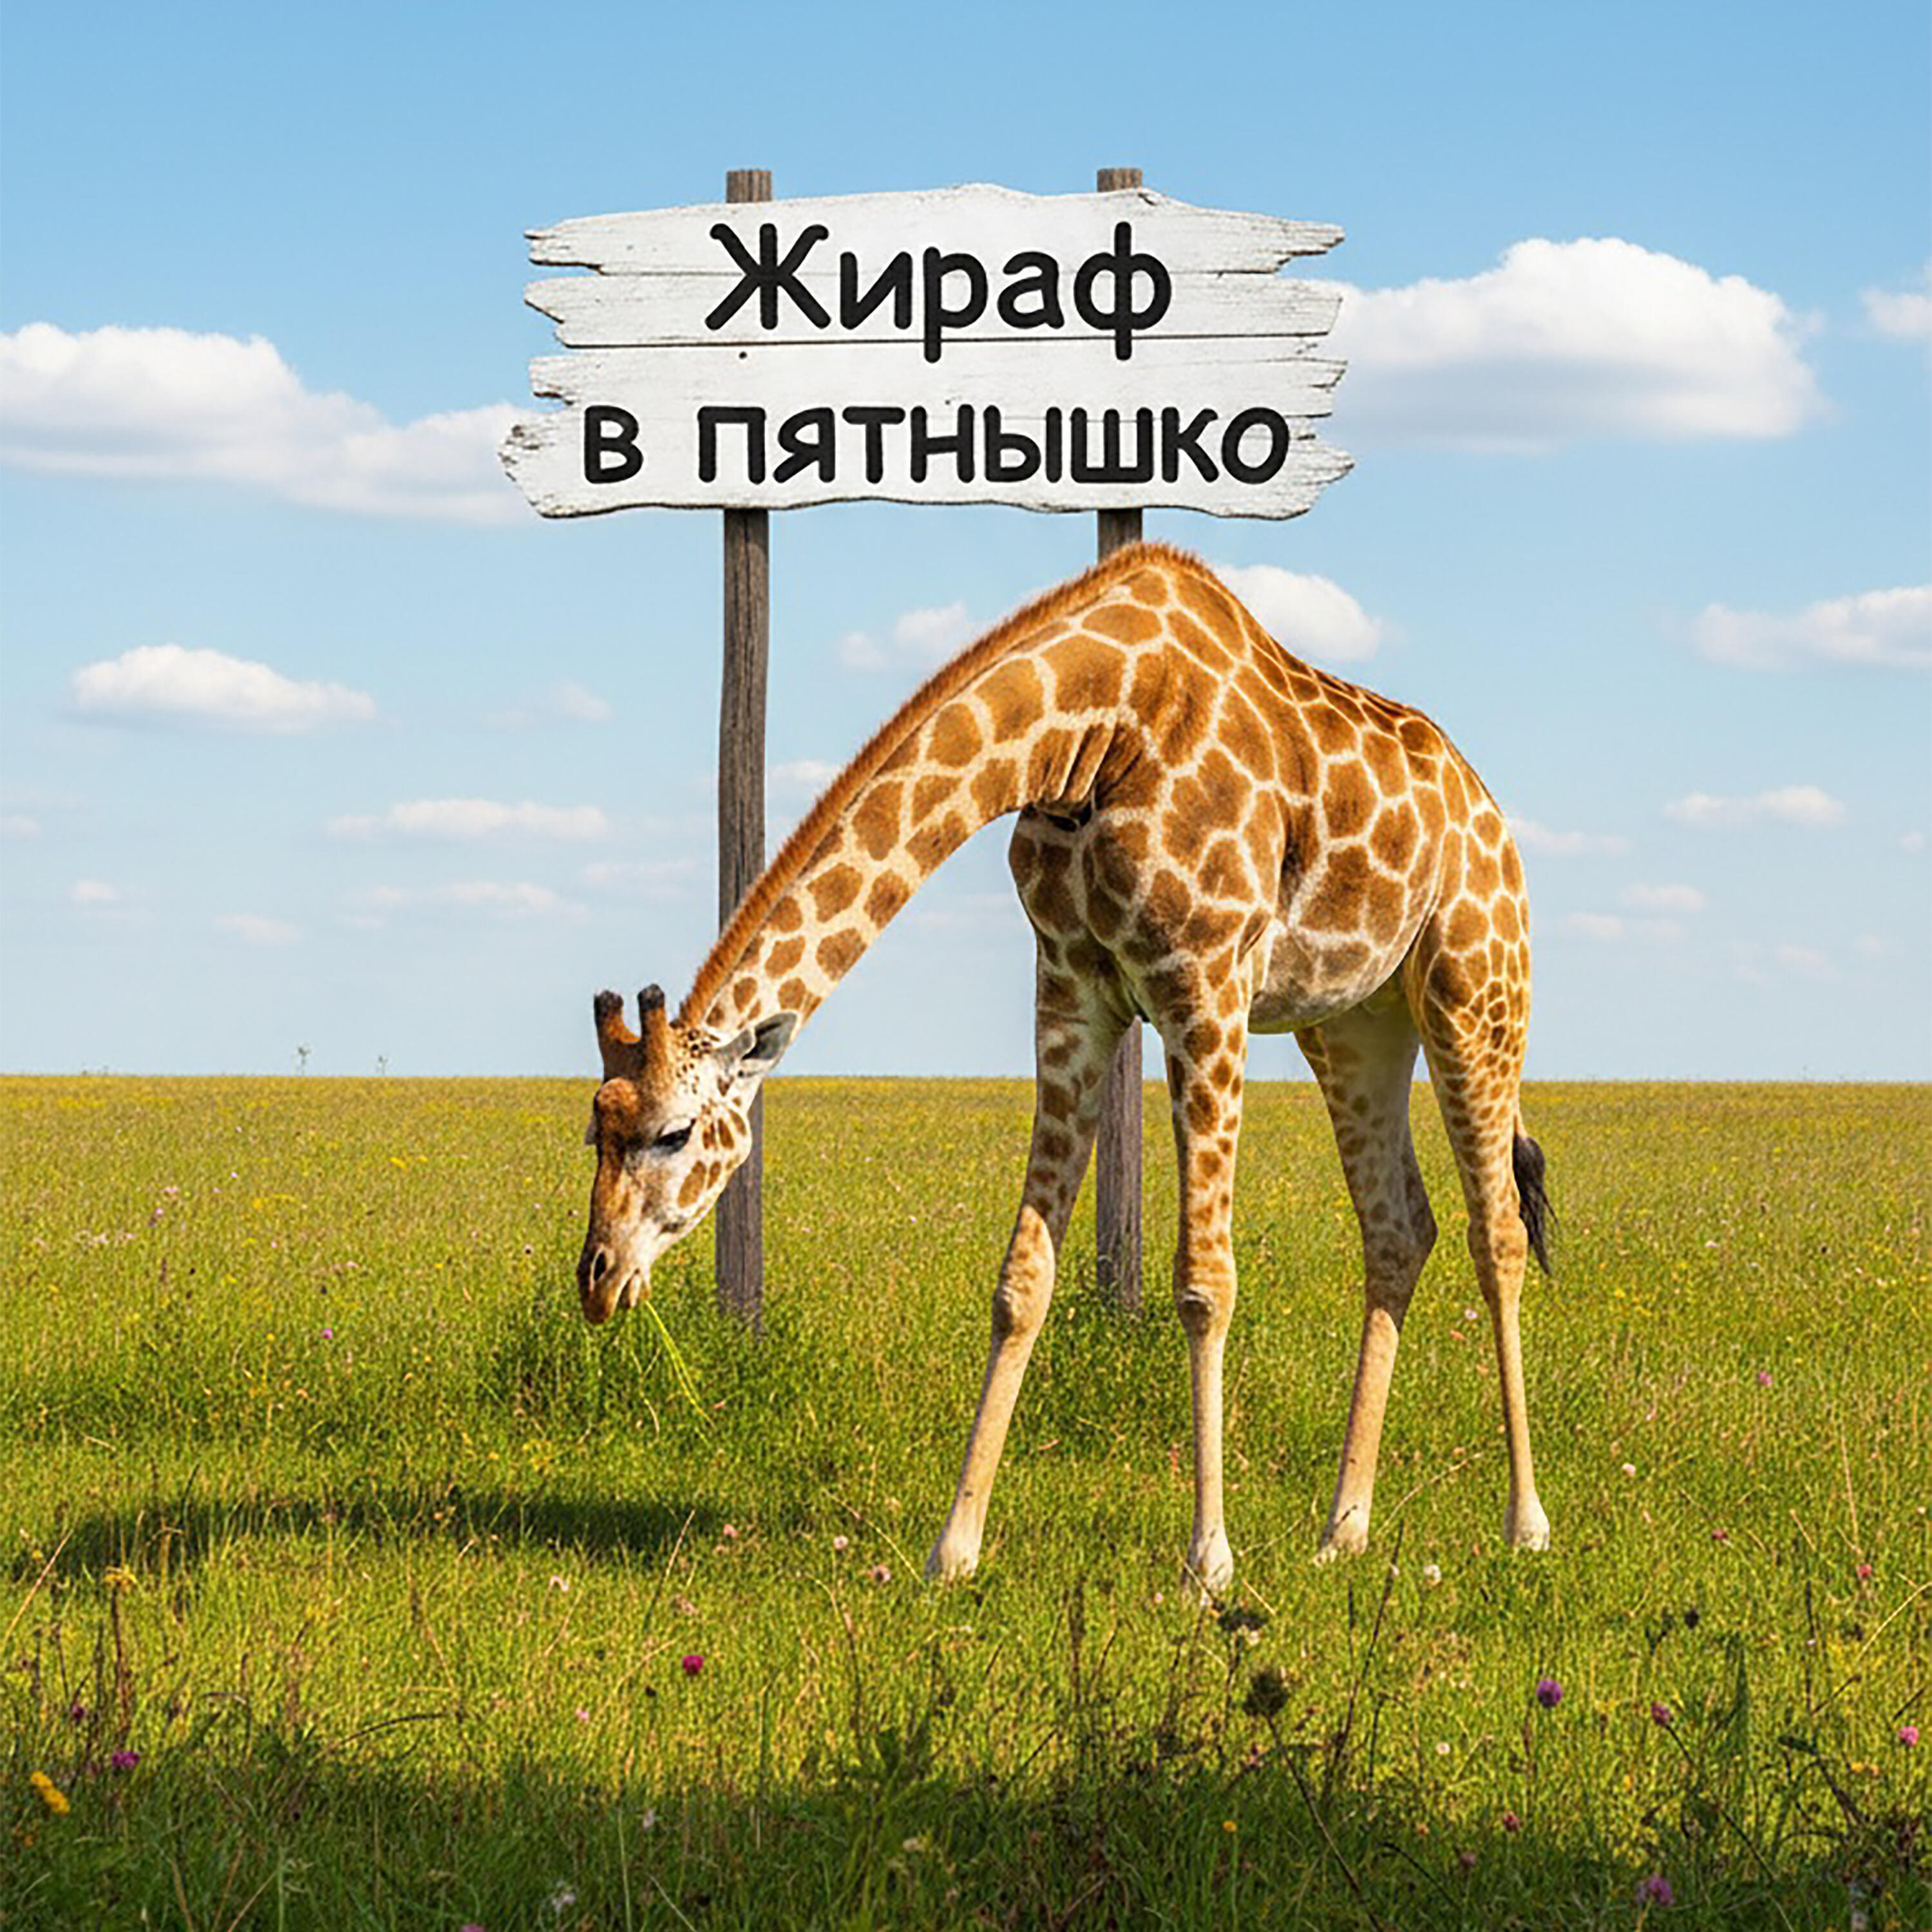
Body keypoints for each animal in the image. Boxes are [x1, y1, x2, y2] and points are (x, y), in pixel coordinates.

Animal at [578, 541, 1553, 1592]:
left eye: (675, 1133)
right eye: (596, 1131)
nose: (596, 1279)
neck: (1090, 734)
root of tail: (1490, 811)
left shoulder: (1205, 985)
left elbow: (1204, 1281)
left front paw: (1209, 1561)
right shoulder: (1070, 989)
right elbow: (1021, 1280)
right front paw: (955, 1546)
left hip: (1476, 990)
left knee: (1497, 1231)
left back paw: (1525, 1524)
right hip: (1356, 1022)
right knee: (1398, 1227)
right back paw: (1345, 1529)